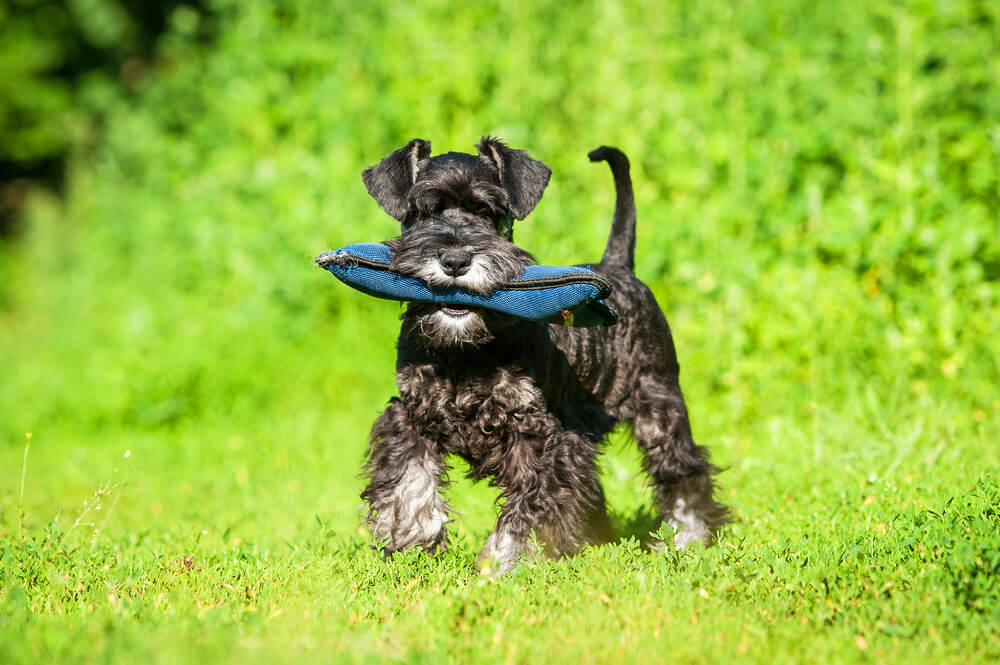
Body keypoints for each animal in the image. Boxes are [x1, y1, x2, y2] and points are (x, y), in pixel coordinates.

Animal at [352, 137, 728, 572]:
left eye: (488, 212)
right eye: (423, 212)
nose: (456, 260)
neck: (464, 351)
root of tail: (618, 266)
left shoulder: (542, 436)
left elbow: (530, 504)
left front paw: (500, 563)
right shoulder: (411, 417)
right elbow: (410, 480)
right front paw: (411, 545)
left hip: (658, 406)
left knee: (683, 470)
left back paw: (689, 538)